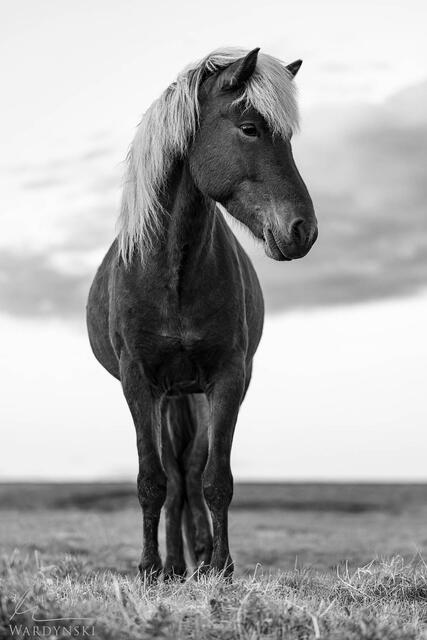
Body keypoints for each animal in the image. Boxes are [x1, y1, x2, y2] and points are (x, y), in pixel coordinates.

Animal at [86, 47, 317, 581]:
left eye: (288, 137)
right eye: (250, 127)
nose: (304, 230)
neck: (172, 270)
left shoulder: (228, 379)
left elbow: (215, 479)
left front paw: (221, 565)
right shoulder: (139, 382)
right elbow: (152, 480)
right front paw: (150, 568)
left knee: (190, 474)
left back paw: (197, 554)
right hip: (169, 397)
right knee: (174, 479)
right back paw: (173, 563)